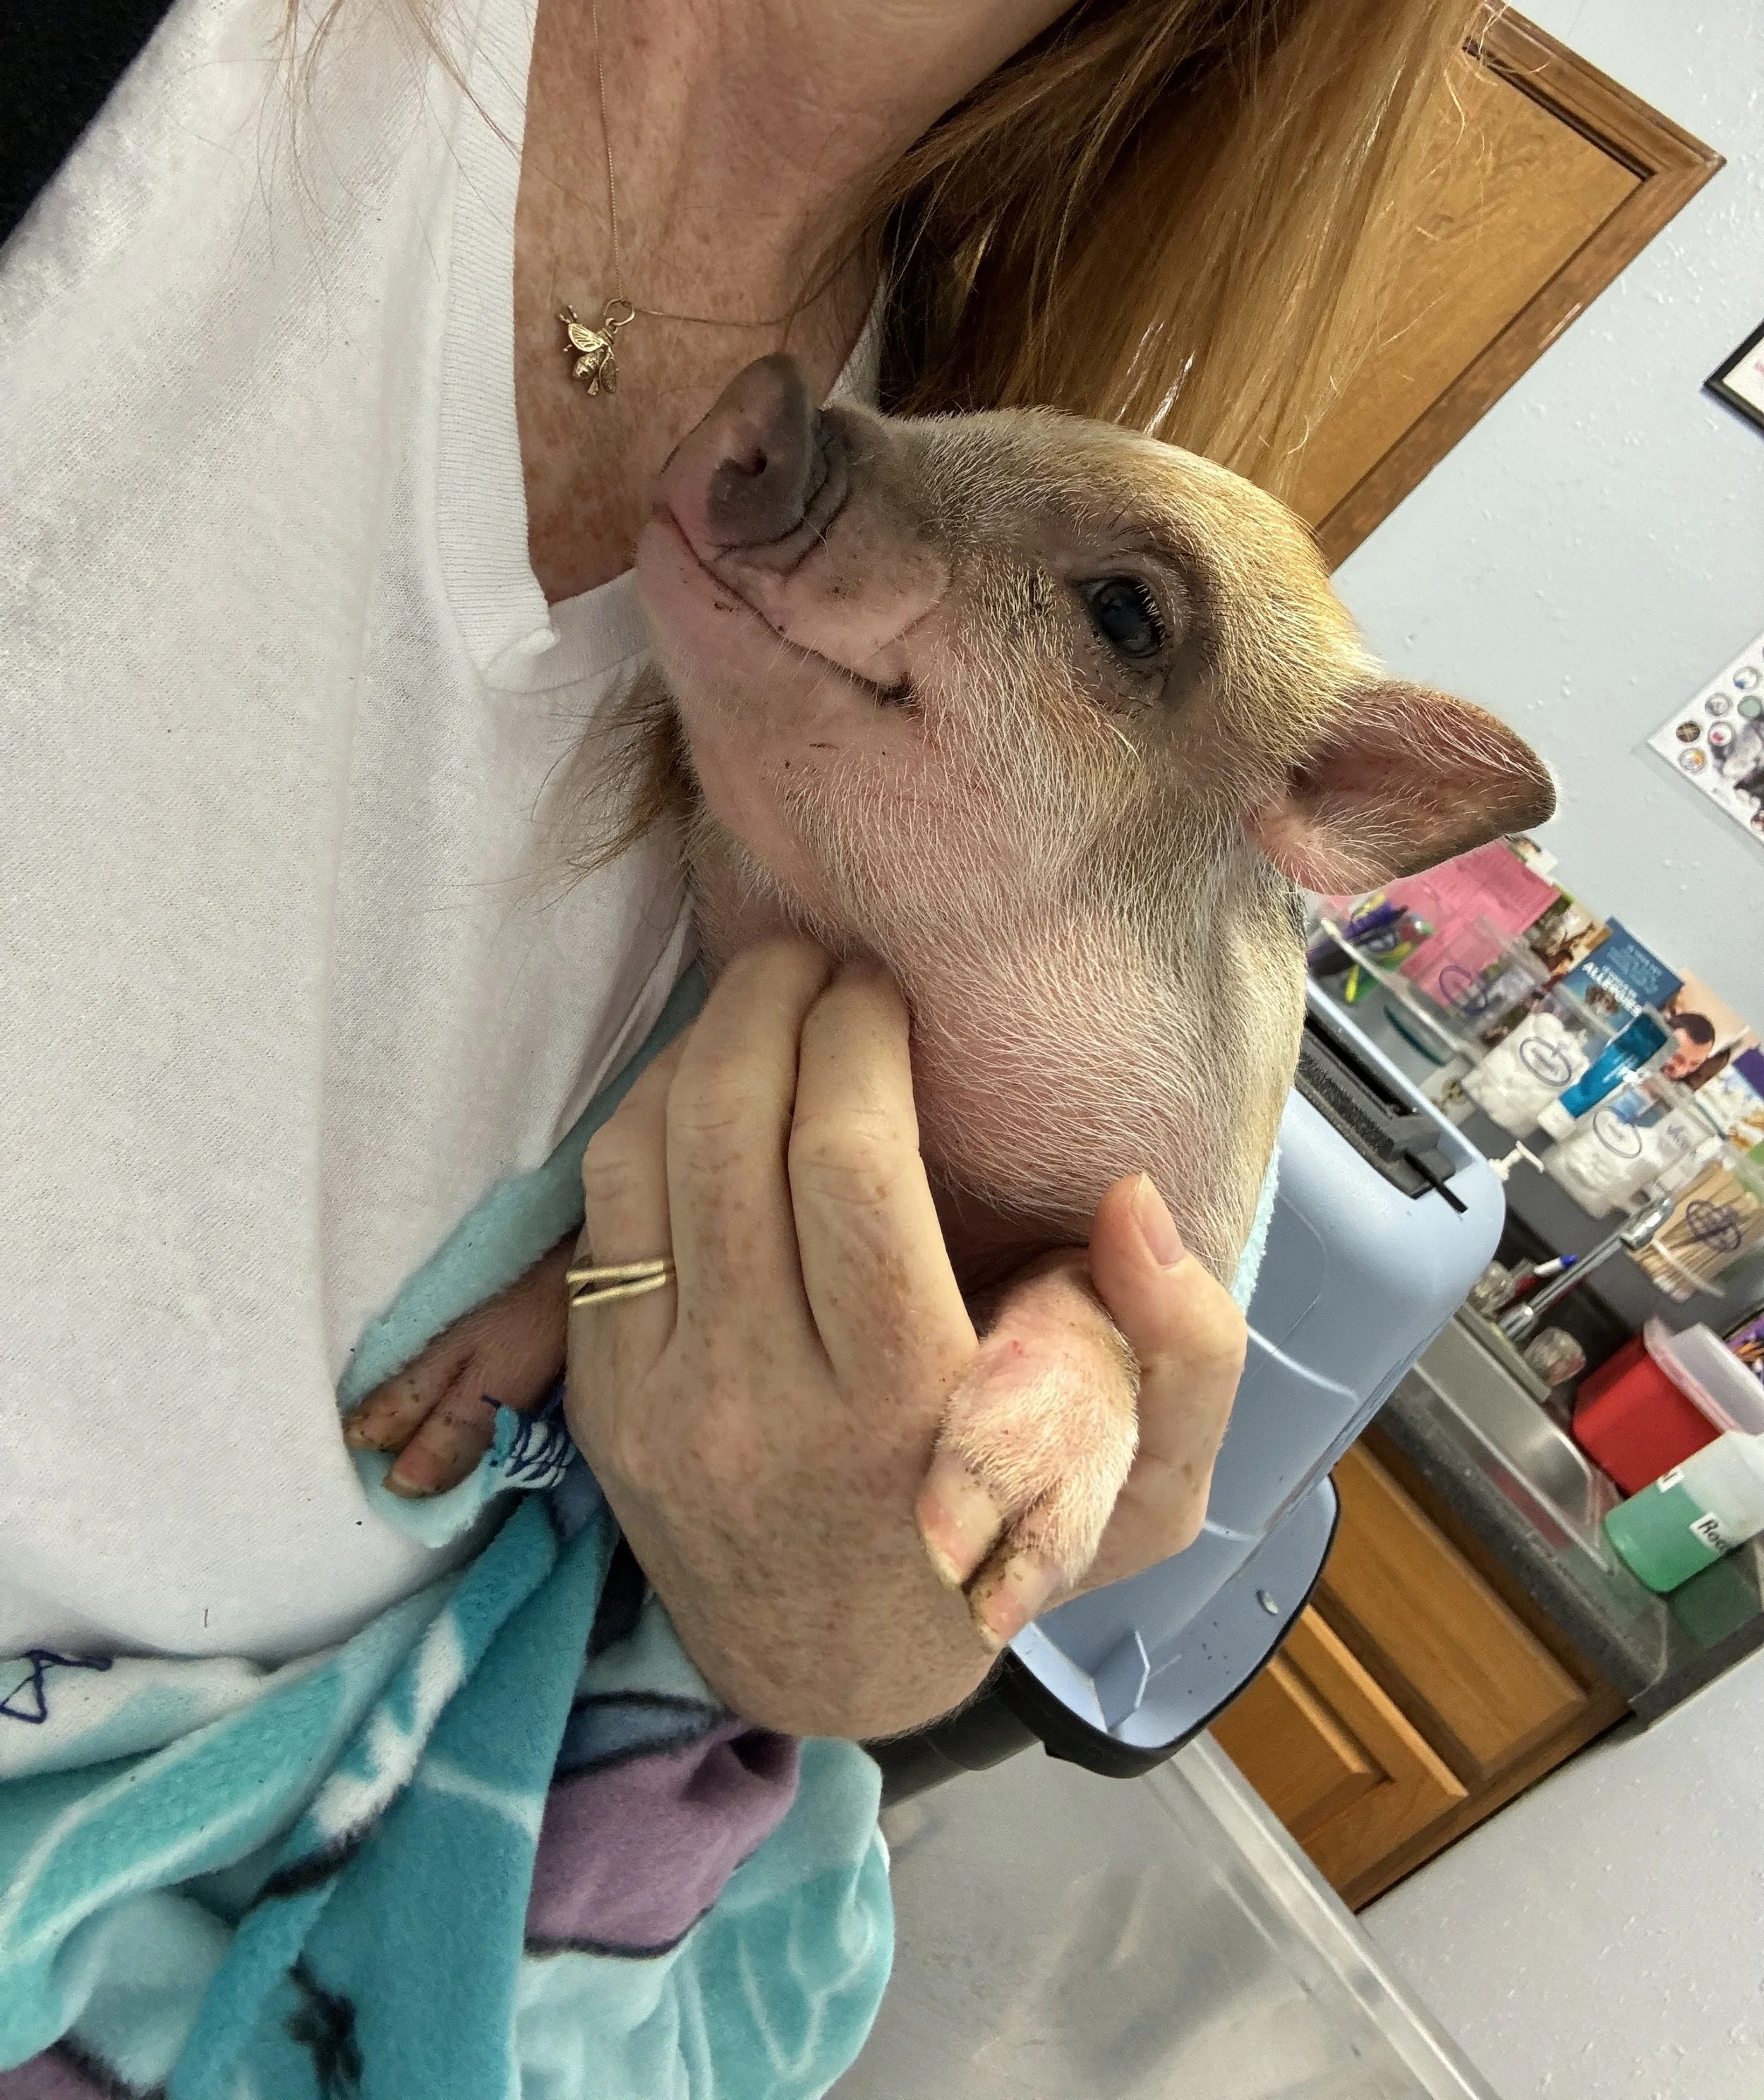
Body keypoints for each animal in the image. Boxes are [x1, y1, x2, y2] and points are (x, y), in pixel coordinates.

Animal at [359, 355, 1553, 1635]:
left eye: (1128, 614)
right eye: (969, 417)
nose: (774, 386)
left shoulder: (1191, 1229)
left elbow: (1100, 1293)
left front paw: (974, 1545)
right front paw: (403, 1448)